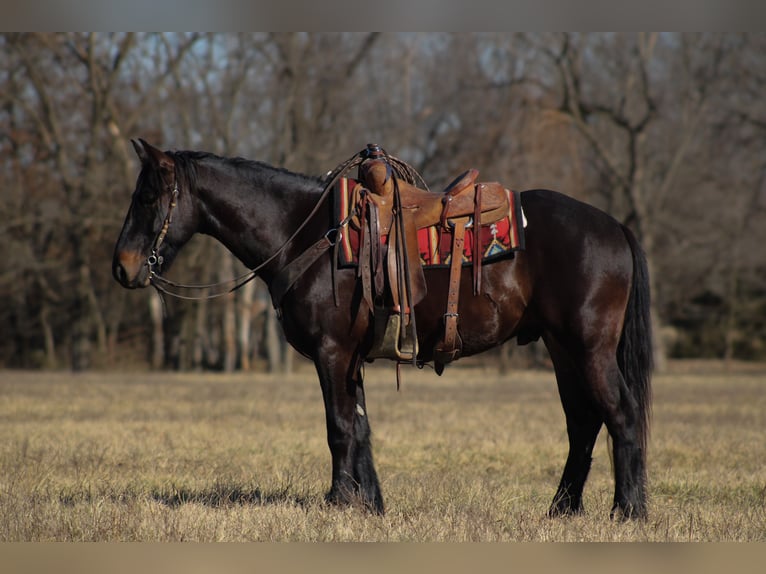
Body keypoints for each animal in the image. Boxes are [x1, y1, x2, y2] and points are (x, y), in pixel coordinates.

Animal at [112, 139, 653, 520]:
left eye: (147, 196)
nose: (122, 267)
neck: (308, 236)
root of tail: (614, 226)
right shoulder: (350, 358)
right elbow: (361, 426)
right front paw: (370, 503)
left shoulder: (331, 353)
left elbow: (338, 426)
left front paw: (337, 500)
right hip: (563, 350)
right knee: (583, 423)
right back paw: (562, 509)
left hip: (590, 347)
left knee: (621, 416)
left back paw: (628, 511)